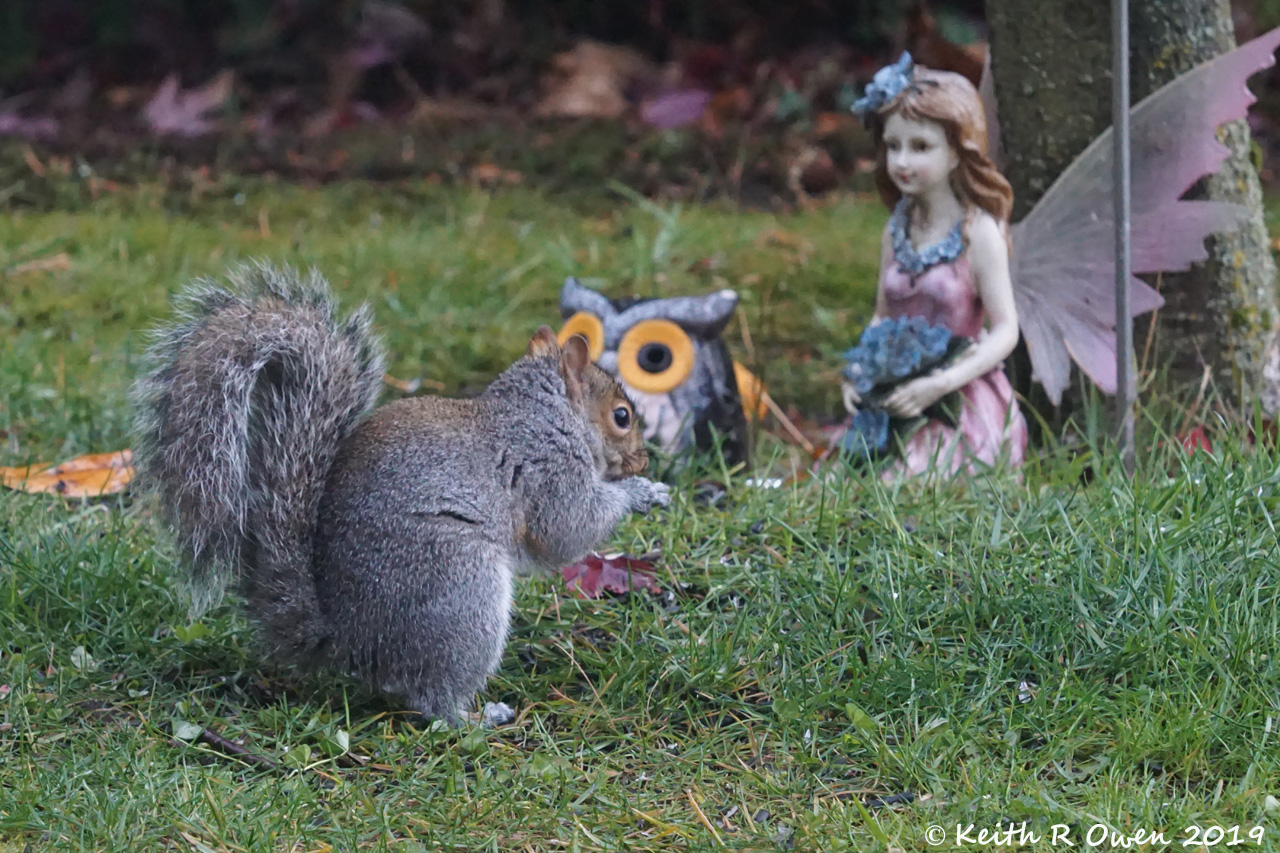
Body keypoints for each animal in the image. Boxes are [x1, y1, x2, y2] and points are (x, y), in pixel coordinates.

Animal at [133, 263, 670, 723]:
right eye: (622, 416)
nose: (644, 460)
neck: (545, 416)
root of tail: (351, 641)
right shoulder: (547, 470)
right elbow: (565, 529)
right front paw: (644, 492)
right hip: (459, 589)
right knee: (431, 697)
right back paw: (476, 718)